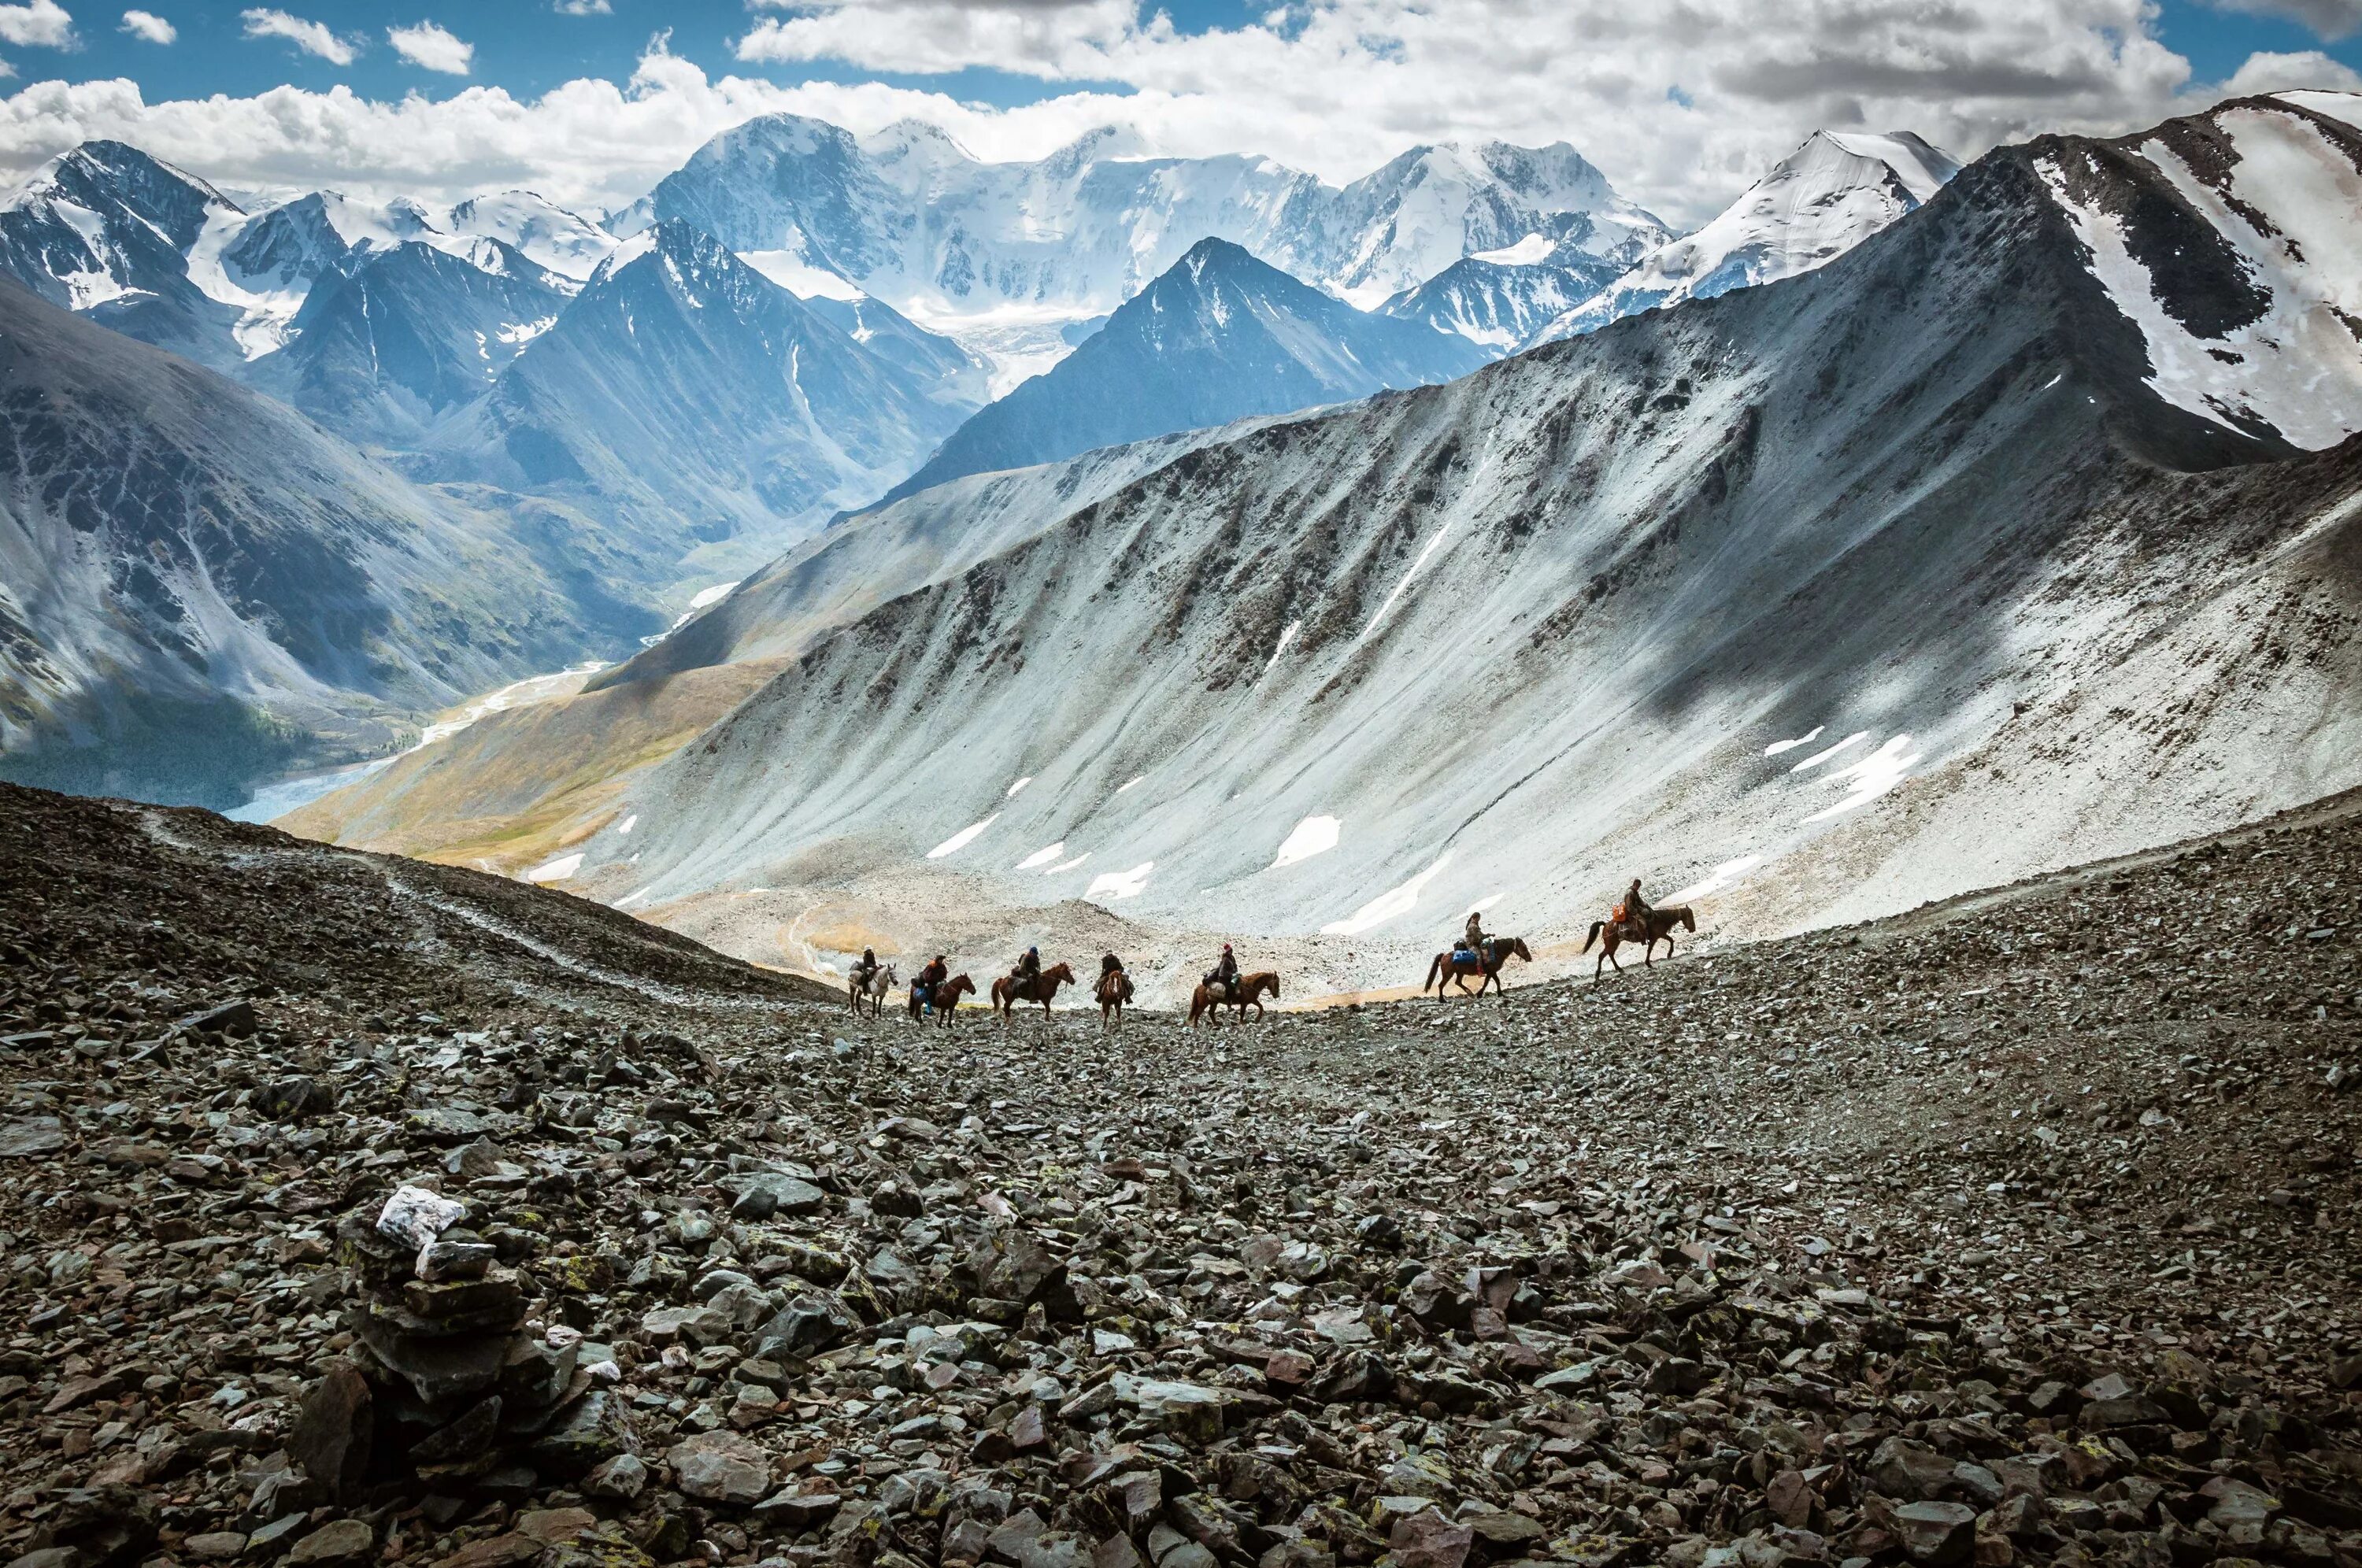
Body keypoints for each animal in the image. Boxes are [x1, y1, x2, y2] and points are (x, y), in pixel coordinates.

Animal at [1417, 935, 1531, 997]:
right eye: (1524, 947)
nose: (1530, 958)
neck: (1496, 951)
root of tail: (1443, 956)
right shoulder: (1492, 971)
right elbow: (1493, 982)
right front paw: (1483, 994)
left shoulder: (1490, 972)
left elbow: (1490, 982)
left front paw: (1483, 993)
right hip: (1448, 974)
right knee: (1442, 985)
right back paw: (1443, 1000)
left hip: (1460, 973)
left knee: (1458, 982)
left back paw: (1470, 993)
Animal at [1587, 907, 1701, 982]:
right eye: (1689, 916)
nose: (1693, 929)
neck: (1660, 919)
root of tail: (1605, 925)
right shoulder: (1655, 937)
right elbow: (1650, 950)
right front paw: (1649, 963)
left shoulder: (1661, 935)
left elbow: (1671, 940)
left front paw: (1669, 954)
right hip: (1612, 943)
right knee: (1602, 955)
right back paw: (1598, 975)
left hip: (1615, 943)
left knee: (1610, 954)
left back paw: (1619, 969)